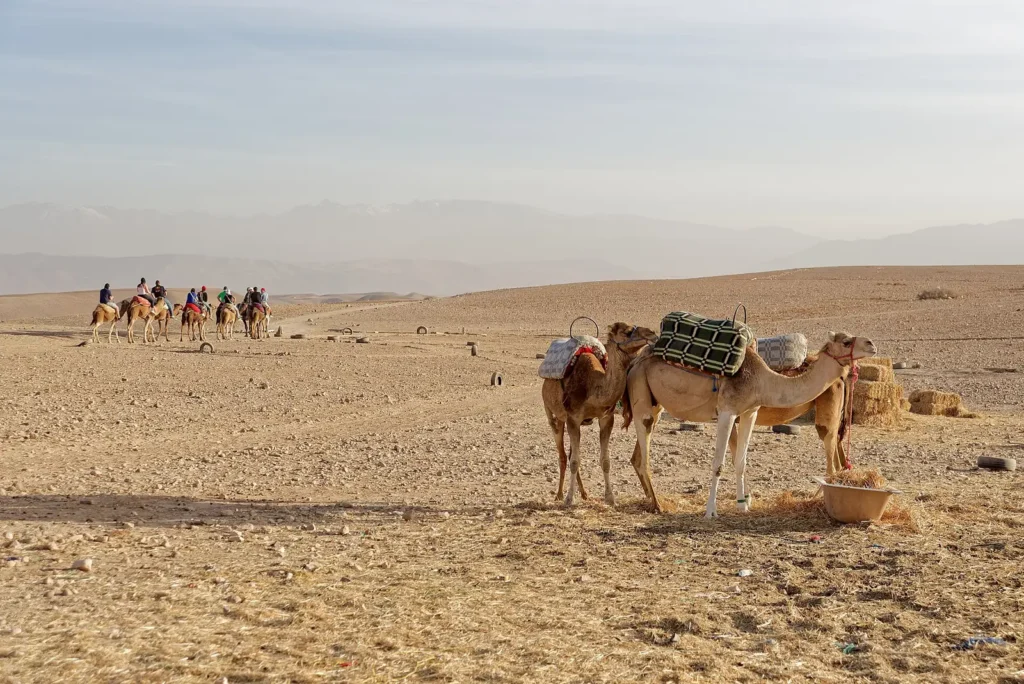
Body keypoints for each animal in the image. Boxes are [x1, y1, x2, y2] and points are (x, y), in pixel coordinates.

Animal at [541, 322, 658, 507]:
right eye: (627, 331)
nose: (652, 333)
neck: (593, 387)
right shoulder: (573, 418)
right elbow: (574, 461)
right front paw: (569, 498)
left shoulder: (606, 418)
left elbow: (605, 461)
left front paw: (610, 498)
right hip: (553, 415)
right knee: (563, 455)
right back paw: (559, 495)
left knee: (570, 453)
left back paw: (584, 493)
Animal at [623, 331, 875, 517]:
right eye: (846, 341)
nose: (871, 344)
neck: (763, 380)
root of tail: (636, 361)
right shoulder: (727, 411)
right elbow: (718, 463)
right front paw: (711, 511)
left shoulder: (749, 411)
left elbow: (741, 462)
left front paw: (743, 505)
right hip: (640, 392)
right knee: (643, 455)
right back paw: (658, 505)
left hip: (655, 404)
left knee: (637, 455)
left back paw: (651, 501)